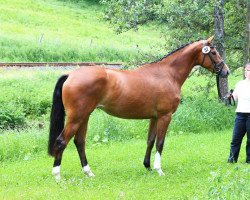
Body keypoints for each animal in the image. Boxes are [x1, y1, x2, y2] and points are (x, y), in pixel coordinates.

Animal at [47, 36, 229, 180]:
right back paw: (57, 175)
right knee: (62, 141)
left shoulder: (154, 117)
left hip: (84, 116)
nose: (226, 71)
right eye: (213, 52)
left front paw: (147, 166)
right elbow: (160, 143)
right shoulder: (165, 116)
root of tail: (71, 74)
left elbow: (150, 141)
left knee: (79, 142)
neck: (167, 74)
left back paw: (88, 172)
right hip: (76, 117)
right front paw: (159, 170)